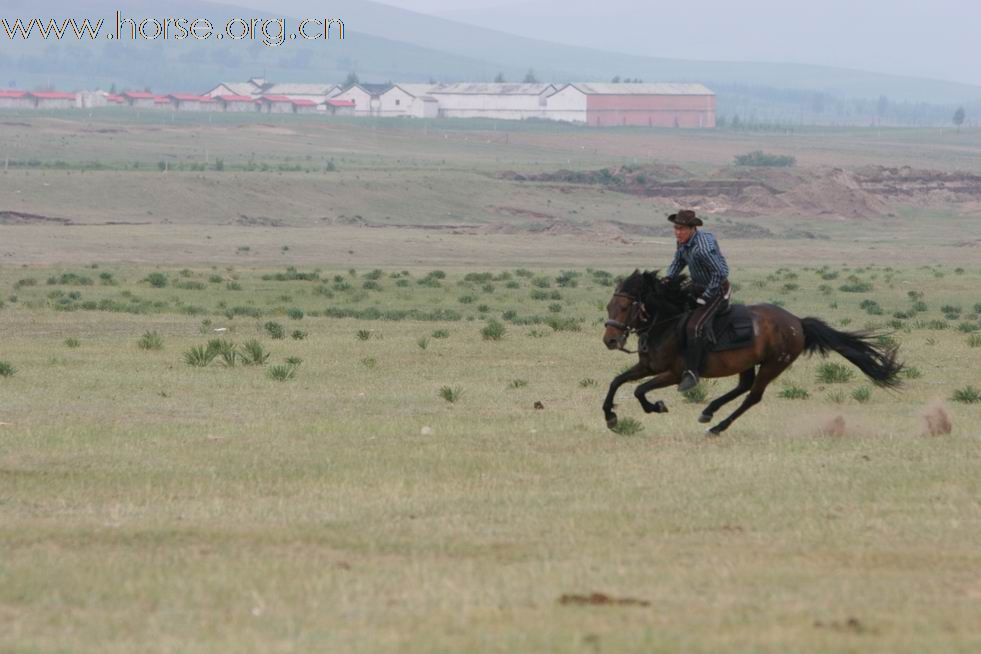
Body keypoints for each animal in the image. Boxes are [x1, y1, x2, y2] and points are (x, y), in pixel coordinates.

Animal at [600, 272, 900, 436]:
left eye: (625, 308)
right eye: (609, 306)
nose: (610, 340)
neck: (667, 324)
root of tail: (797, 322)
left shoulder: (673, 374)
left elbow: (639, 390)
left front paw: (657, 406)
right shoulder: (648, 367)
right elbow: (616, 382)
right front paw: (611, 418)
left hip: (772, 365)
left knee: (753, 396)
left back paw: (716, 427)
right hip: (747, 361)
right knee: (743, 386)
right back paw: (708, 412)